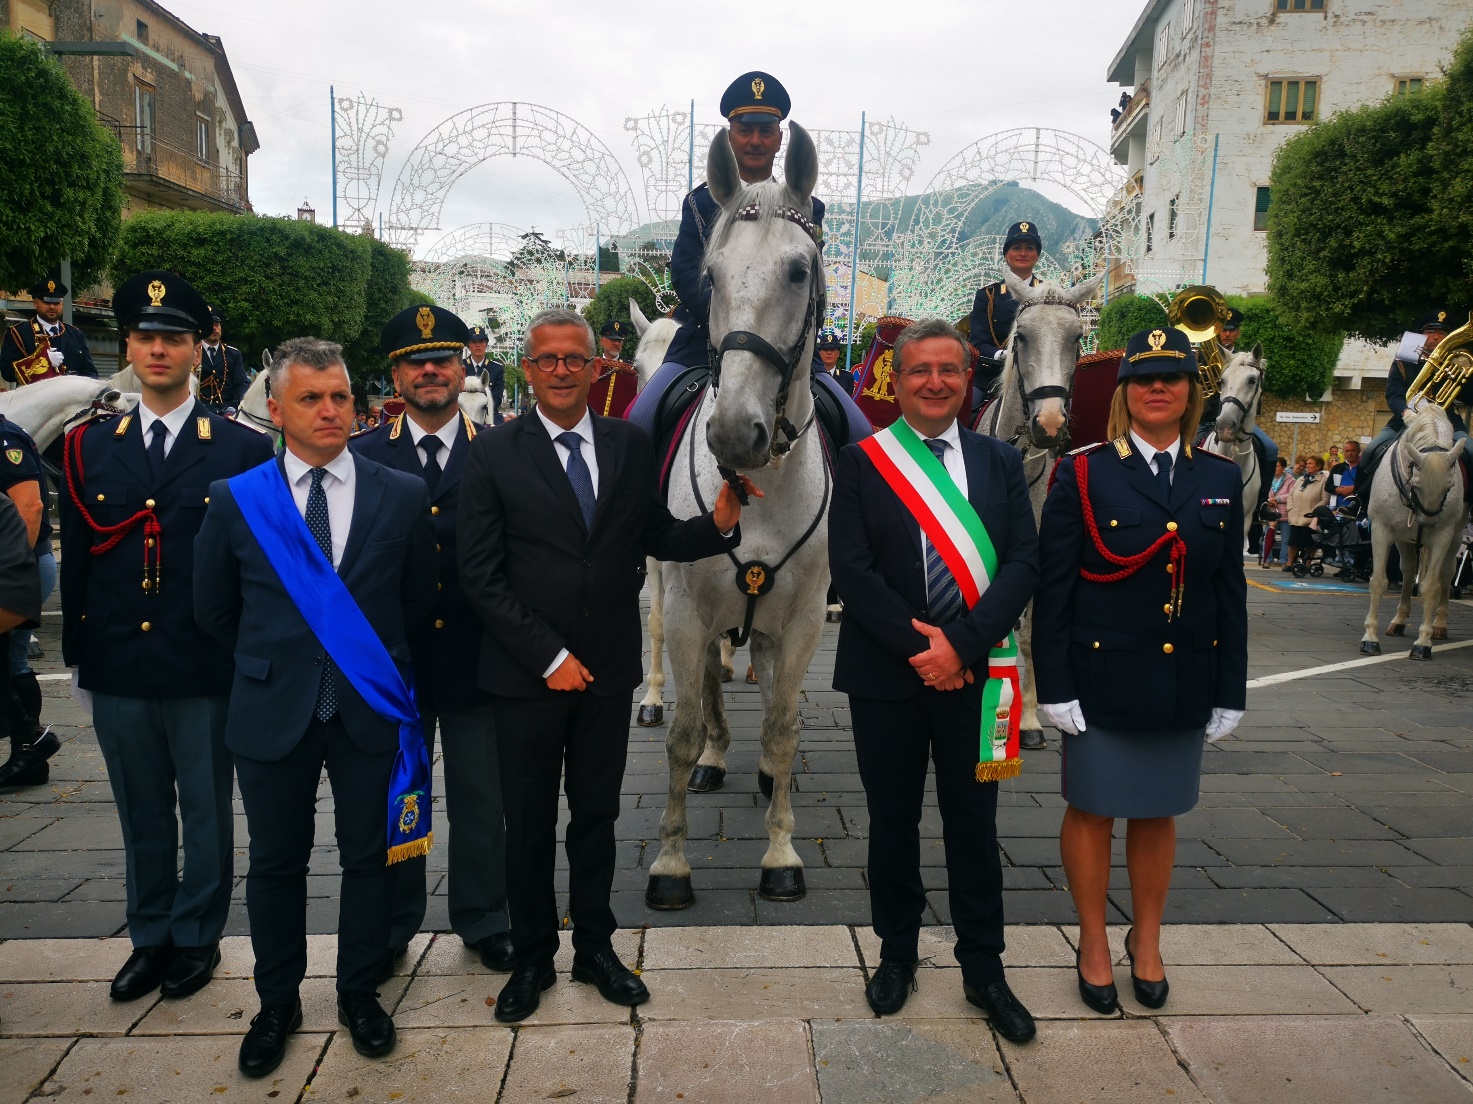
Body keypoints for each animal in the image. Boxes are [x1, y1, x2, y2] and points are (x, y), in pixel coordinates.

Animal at [1355, 409, 1461, 660]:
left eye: (1449, 486)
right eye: (1417, 482)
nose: (1427, 523)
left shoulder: (1442, 536)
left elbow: (1430, 586)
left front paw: (1423, 643)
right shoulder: (1381, 529)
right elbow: (1378, 581)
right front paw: (1370, 639)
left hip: (1456, 536)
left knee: (1446, 574)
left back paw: (1439, 625)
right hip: (1404, 538)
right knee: (1408, 569)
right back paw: (1399, 621)